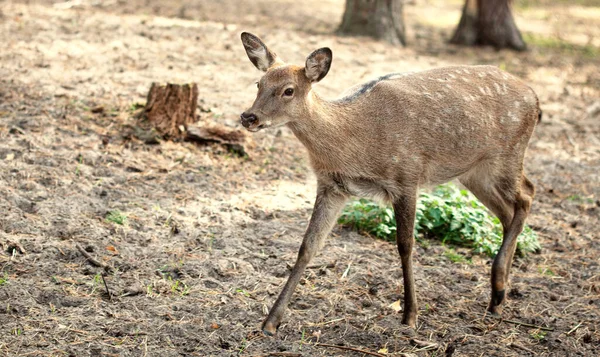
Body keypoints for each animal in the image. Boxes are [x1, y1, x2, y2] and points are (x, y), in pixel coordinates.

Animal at [238, 32, 540, 336]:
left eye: (288, 90)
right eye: (259, 83)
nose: (249, 116)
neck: (353, 143)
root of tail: (536, 99)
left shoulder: (406, 176)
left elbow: (405, 245)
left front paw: (410, 315)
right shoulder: (332, 186)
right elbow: (307, 246)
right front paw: (271, 322)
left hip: (507, 154)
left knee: (527, 194)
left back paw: (499, 285)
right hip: (474, 171)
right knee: (508, 212)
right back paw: (498, 296)